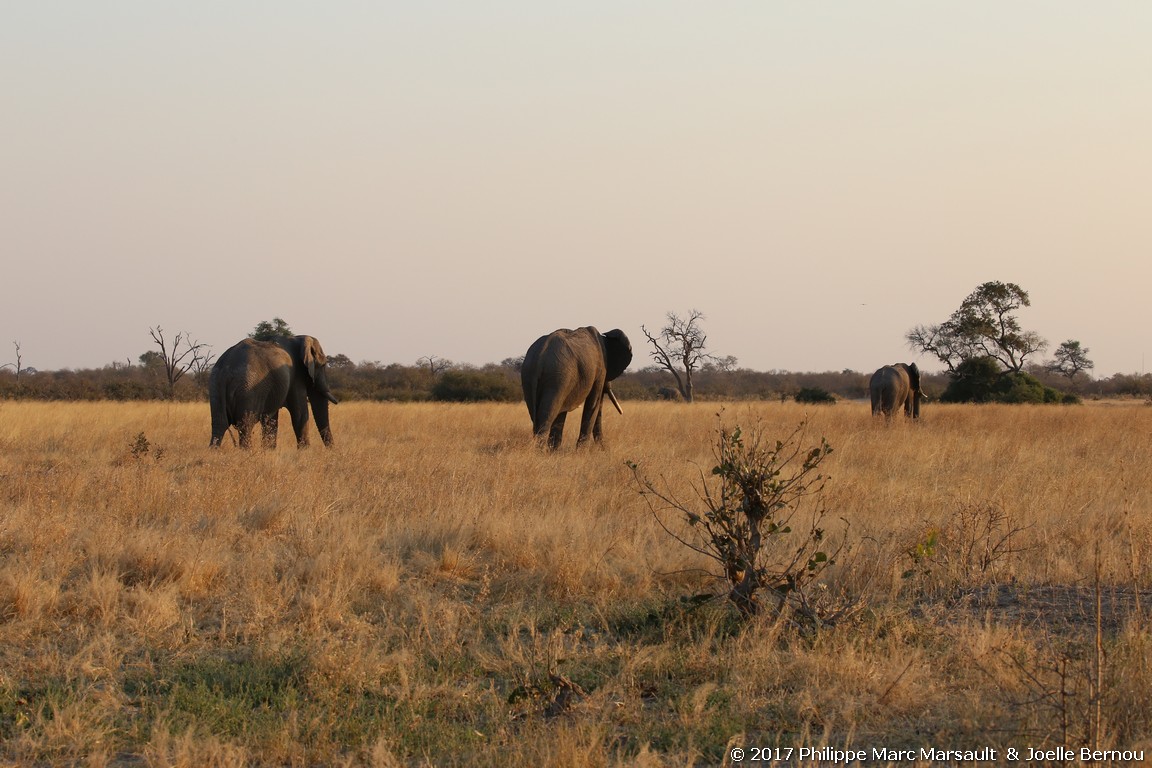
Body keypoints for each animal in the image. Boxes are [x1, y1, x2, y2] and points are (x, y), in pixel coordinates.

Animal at [208, 333, 336, 446]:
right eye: (323, 365)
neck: (298, 338)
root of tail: (226, 369)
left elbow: (271, 421)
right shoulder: (296, 378)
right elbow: (300, 415)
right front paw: (304, 453)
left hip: (215, 386)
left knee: (219, 425)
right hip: (247, 389)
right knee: (245, 426)